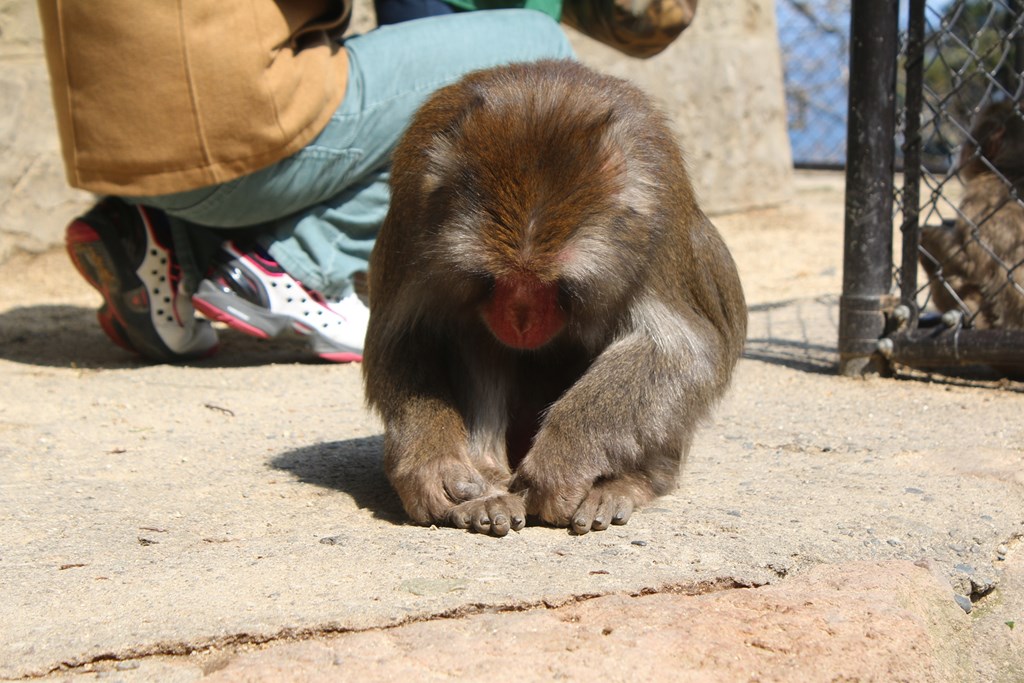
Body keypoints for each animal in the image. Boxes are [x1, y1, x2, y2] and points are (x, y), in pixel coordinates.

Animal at [364, 58, 749, 536]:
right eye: (493, 278)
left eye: (557, 285)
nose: (521, 320)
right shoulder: (412, 219)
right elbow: (409, 336)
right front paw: (434, 462)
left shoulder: (656, 225)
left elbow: (679, 350)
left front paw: (563, 457)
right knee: (472, 334)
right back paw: (487, 484)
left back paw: (626, 483)